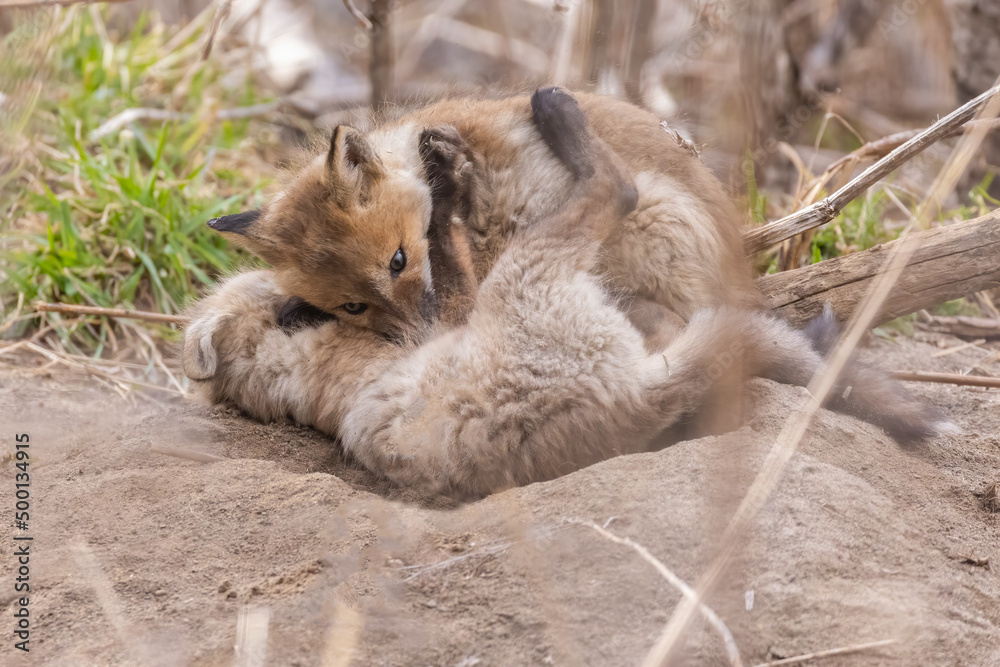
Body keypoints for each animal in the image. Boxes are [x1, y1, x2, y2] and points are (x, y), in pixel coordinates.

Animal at [185, 89, 948, 501]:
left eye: (398, 260)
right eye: (351, 305)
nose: (414, 335)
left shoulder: (478, 258)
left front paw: (450, 181)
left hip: (644, 230)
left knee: (633, 214)